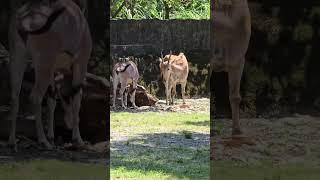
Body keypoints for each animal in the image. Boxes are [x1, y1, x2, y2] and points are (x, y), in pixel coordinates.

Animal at [7, 0, 92, 150]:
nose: (69, 125)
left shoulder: (54, 70)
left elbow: (52, 99)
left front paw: (52, 137)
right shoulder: (80, 63)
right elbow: (76, 99)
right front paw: (78, 140)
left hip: (18, 58)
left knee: (14, 96)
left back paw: (12, 142)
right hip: (44, 63)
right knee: (35, 97)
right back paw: (43, 141)